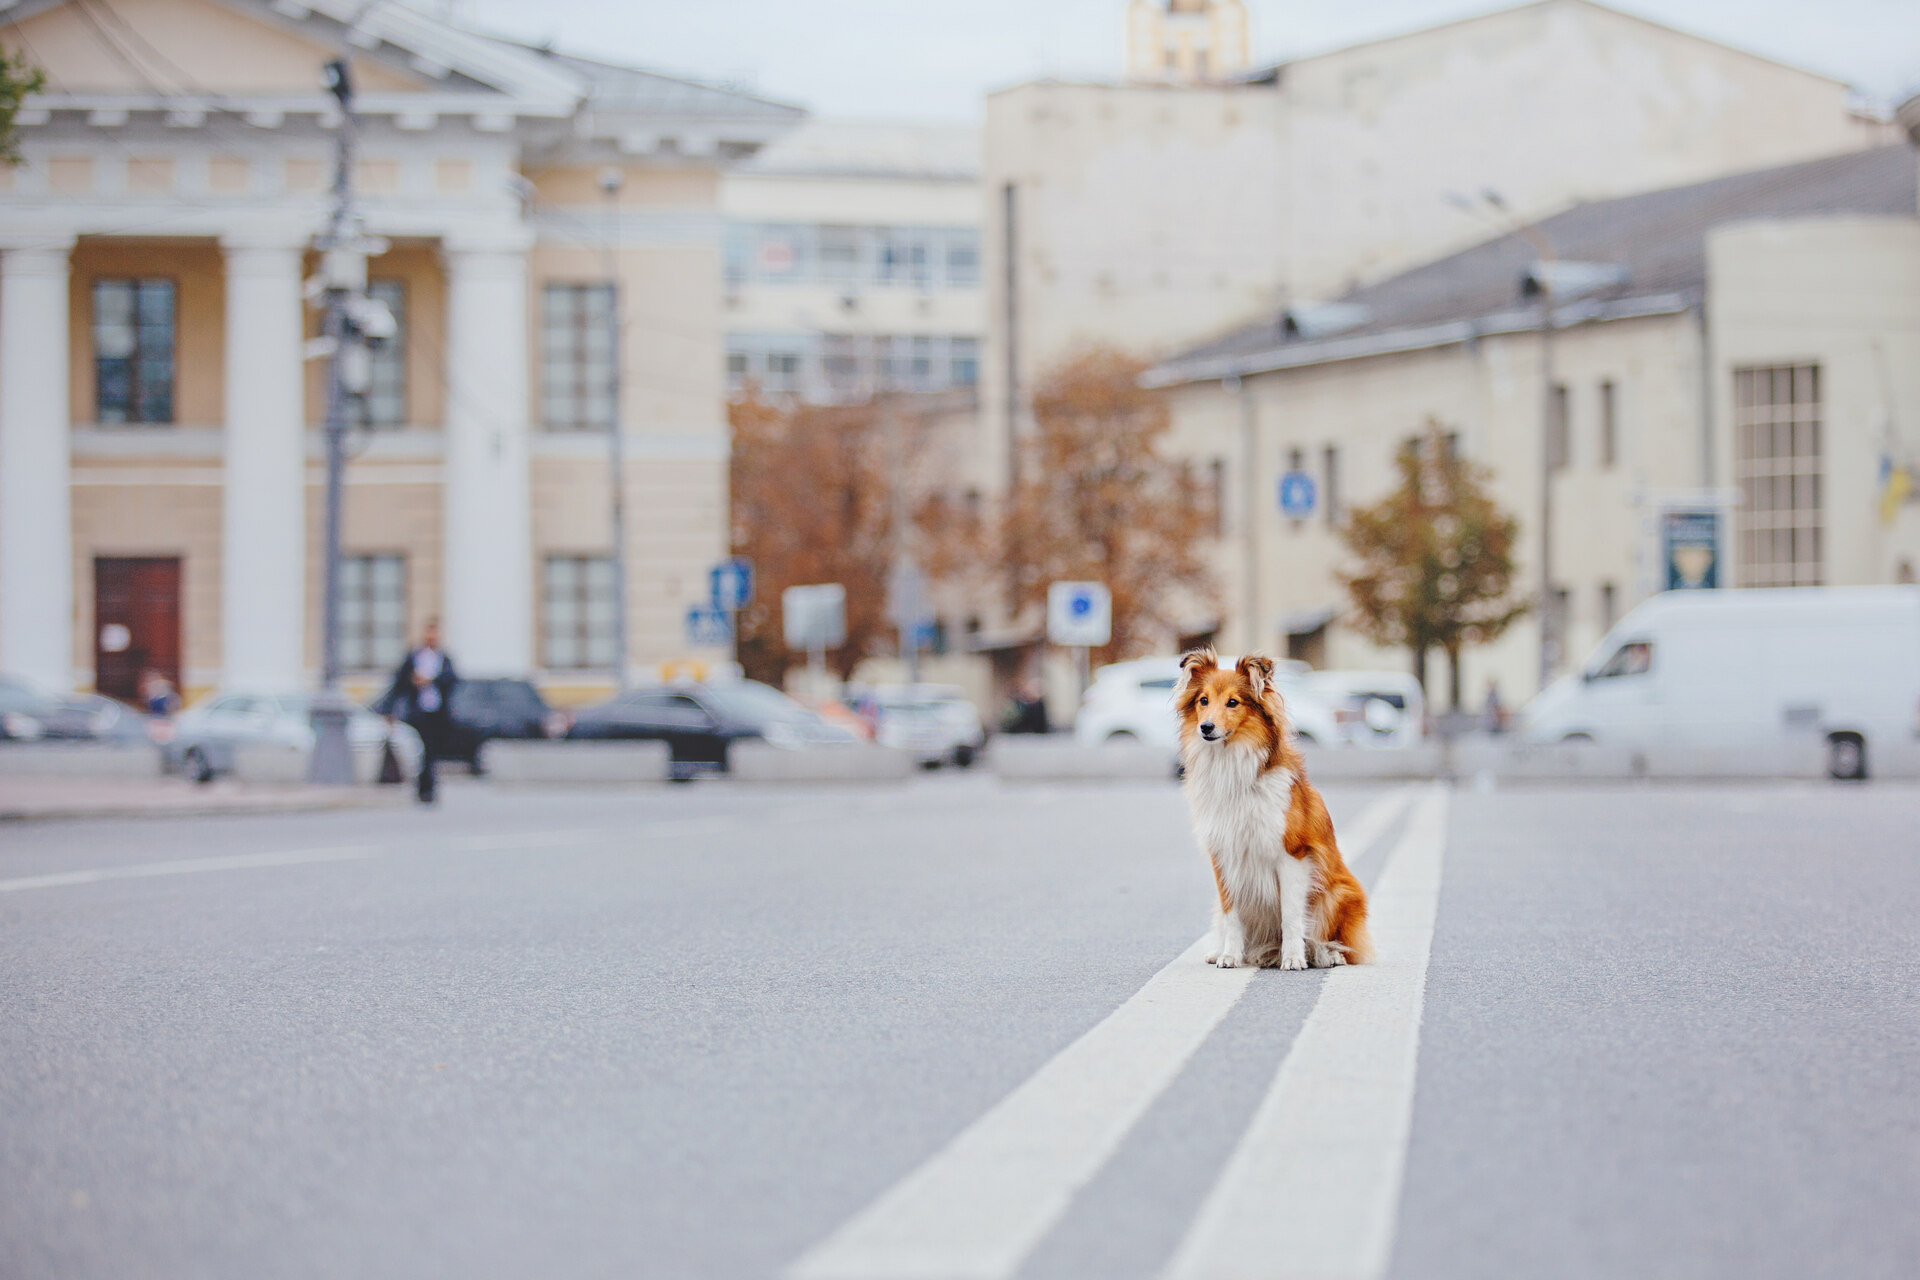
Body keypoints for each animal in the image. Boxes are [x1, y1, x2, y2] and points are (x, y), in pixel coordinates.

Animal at [1167, 652, 1367, 971]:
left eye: (1233, 702)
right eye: (1203, 700)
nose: (1206, 728)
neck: (1232, 766)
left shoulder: (1292, 856)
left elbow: (1291, 915)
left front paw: (1294, 957)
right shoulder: (1224, 857)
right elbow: (1232, 914)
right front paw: (1229, 955)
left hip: (1339, 893)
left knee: (1339, 942)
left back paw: (1328, 954)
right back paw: (1220, 951)